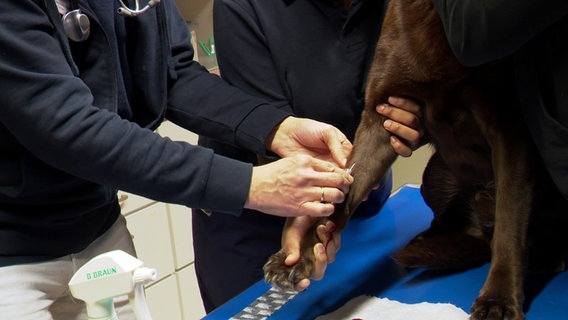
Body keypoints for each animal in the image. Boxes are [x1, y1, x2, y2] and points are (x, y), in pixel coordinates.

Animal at [264, 0, 564, 320]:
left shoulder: (508, 126)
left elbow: (509, 224)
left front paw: (499, 298)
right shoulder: (379, 119)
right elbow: (341, 195)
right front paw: (300, 255)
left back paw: (546, 256)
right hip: (435, 175)